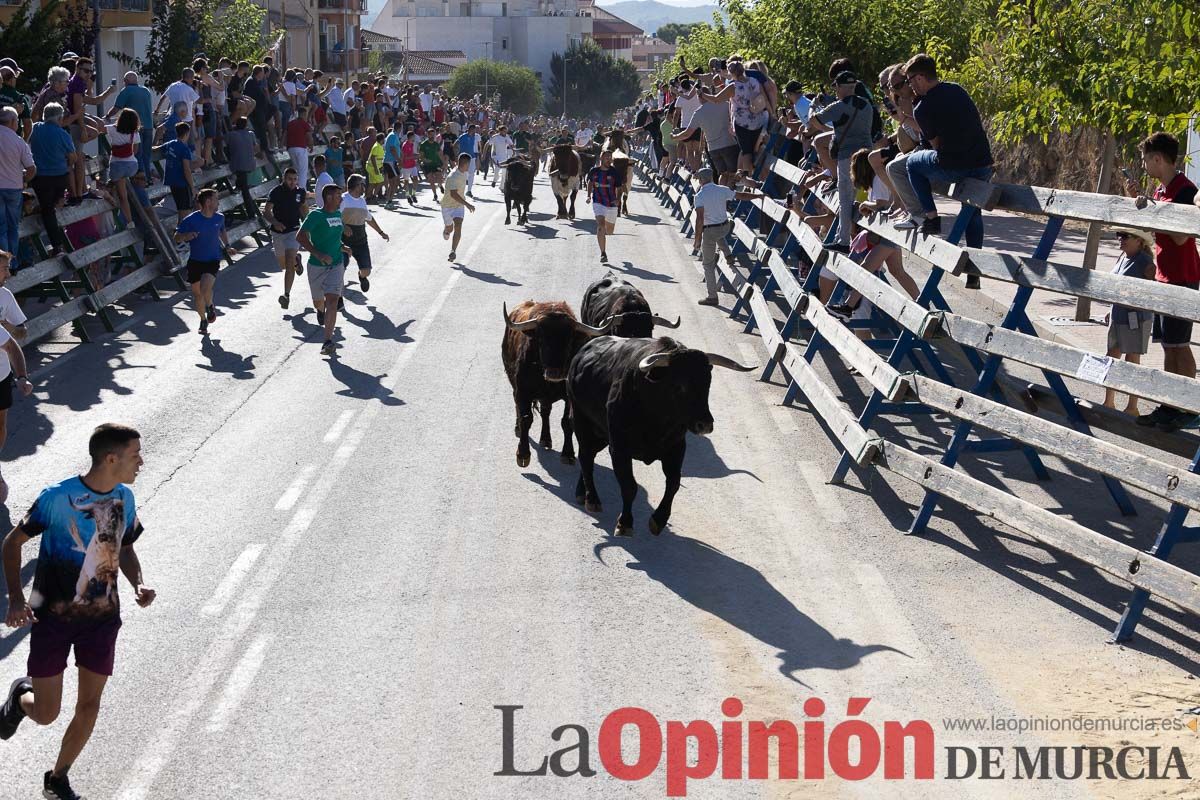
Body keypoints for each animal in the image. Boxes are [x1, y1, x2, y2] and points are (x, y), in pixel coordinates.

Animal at [566, 335, 753, 534]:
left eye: (708, 383)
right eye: (680, 386)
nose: (705, 425)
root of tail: (582, 352)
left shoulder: (676, 448)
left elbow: (673, 483)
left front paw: (659, 520)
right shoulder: (619, 448)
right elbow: (629, 486)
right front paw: (625, 523)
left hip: (600, 434)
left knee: (589, 456)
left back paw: (582, 493)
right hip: (582, 422)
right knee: (585, 456)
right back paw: (592, 499)